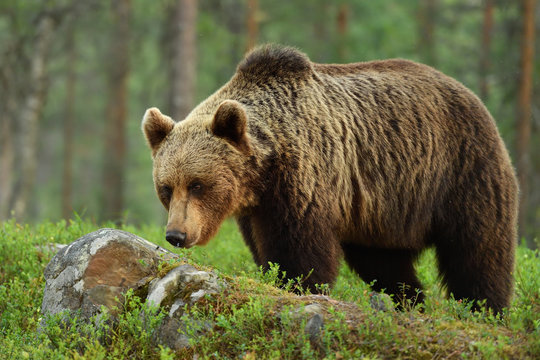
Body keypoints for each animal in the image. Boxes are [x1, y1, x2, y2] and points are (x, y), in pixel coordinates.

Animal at [143, 45, 520, 314]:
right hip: (383, 212)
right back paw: (411, 302)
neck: (264, 173)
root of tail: (471, 94)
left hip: (463, 171)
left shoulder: (305, 180)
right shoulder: (257, 208)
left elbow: (300, 251)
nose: (176, 234)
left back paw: (484, 310)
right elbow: (266, 252)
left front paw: (299, 287)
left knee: (478, 251)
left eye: (197, 184)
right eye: (166, 188)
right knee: (386, 265)